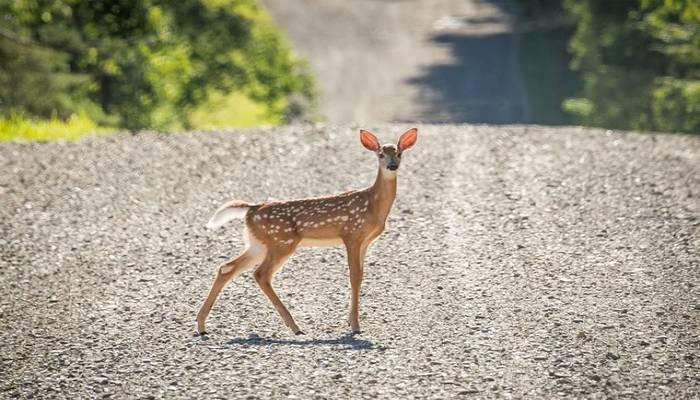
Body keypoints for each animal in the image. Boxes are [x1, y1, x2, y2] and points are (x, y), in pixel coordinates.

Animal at [196, 128, 418, 336]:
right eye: (380, 154)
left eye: (399, 153)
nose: (392, 166)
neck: (372, 205)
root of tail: (251, 209)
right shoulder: (351, 234)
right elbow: (354, 276)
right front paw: (355, 326)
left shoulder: (366, 241)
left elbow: (361, 275)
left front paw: (350, 321)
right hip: (281, 242)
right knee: (261, 274)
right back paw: (295, 327)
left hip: (258, 243)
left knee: (226, 268)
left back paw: (201, 325)